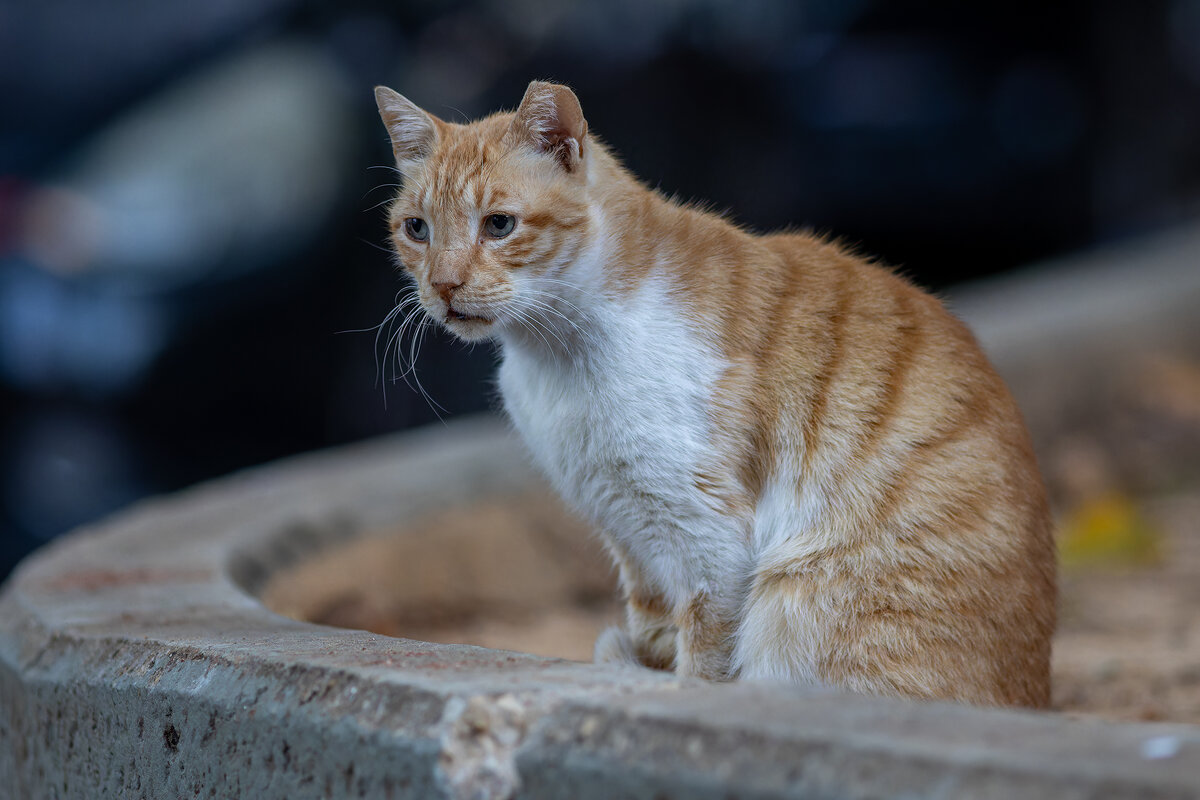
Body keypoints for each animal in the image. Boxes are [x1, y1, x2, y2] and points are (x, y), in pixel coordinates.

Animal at [372, 79, 1051, 705]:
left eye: (499, 225)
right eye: (417, 229)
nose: (444, 285)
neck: (557, 359)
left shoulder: (708, 539)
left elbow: (703, 663)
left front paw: (676, 690)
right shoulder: (631, 538)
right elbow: (654, 632)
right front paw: (645, 669)